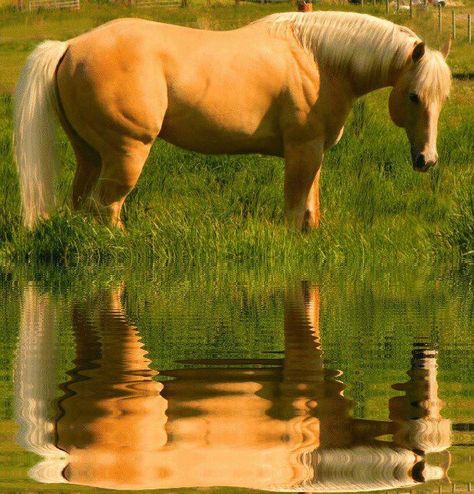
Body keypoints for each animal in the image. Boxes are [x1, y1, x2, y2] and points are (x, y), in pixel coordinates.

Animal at [14, 11, 452, 228]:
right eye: (414, 96)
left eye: (442, 97)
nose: (426, 160)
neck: (318, 58)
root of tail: (70, 46)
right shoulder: (303, 152)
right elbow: (295, 211)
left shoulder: (314, 154)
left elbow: (311, 212)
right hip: (126, 154)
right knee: (106, 210)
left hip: (90, 156)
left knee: (82, 204)